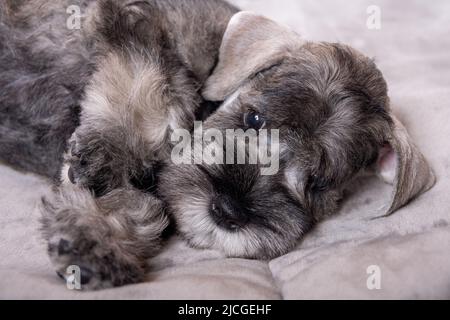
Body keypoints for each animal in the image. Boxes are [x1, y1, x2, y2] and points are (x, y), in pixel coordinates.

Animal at [0, 0, 237, 288]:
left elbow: (139, 206)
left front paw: (97, 242)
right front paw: (102, 158)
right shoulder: (132, 24)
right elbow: (157, 90)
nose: (228, 211)